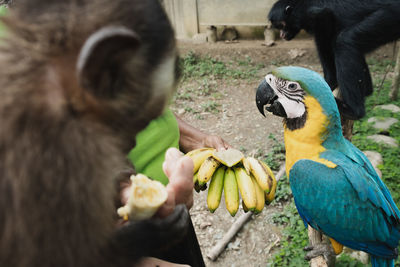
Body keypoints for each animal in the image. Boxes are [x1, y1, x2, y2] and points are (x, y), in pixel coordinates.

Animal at [268, 0, 400, 119]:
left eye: (281, 25)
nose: (282, 35)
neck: (302, 5)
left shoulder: (316, 15)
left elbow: (326, 23)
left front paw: (328, 83)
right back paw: (367, 90)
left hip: (388, 16)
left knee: (345, 41)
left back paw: (353, 110)